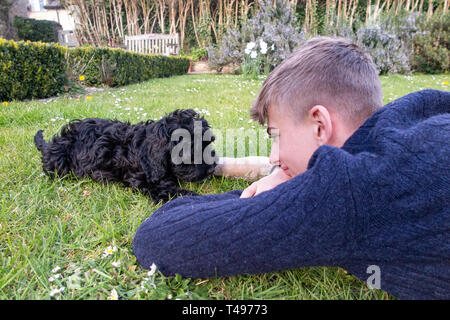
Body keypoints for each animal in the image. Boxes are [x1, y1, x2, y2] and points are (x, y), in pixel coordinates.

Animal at [34, 109, 217, 201]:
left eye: (208, 143)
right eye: (189, 151)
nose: (211, 168)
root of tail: (51, 145)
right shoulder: (143, 181)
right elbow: (170, 191)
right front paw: (194, 197)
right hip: (59, 163)